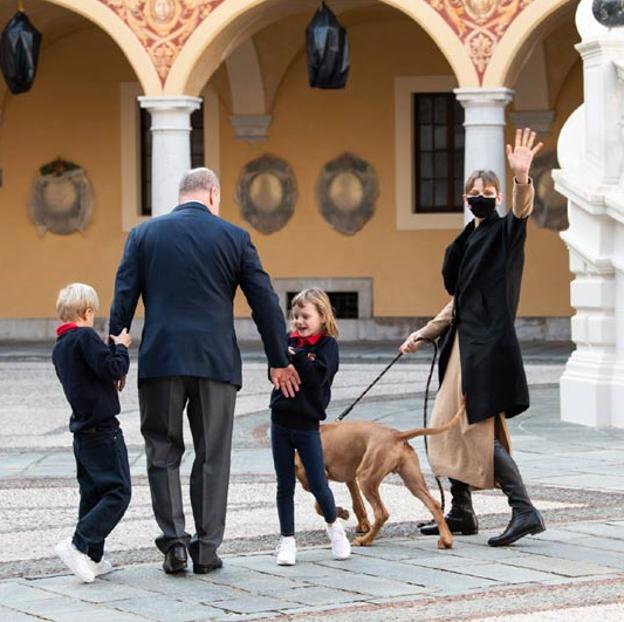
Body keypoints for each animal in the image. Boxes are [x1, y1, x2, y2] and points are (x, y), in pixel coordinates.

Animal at [296, 410, 464, 552]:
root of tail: (397, 434)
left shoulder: (314, 479)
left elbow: (319, 506)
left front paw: (340, 512)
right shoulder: (349, 478)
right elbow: (356, 504)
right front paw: (352, 518)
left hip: (366, 478)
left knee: (381, 513)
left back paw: (365, 540)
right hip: (412, 480)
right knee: (434, 504)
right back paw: (446, 540)